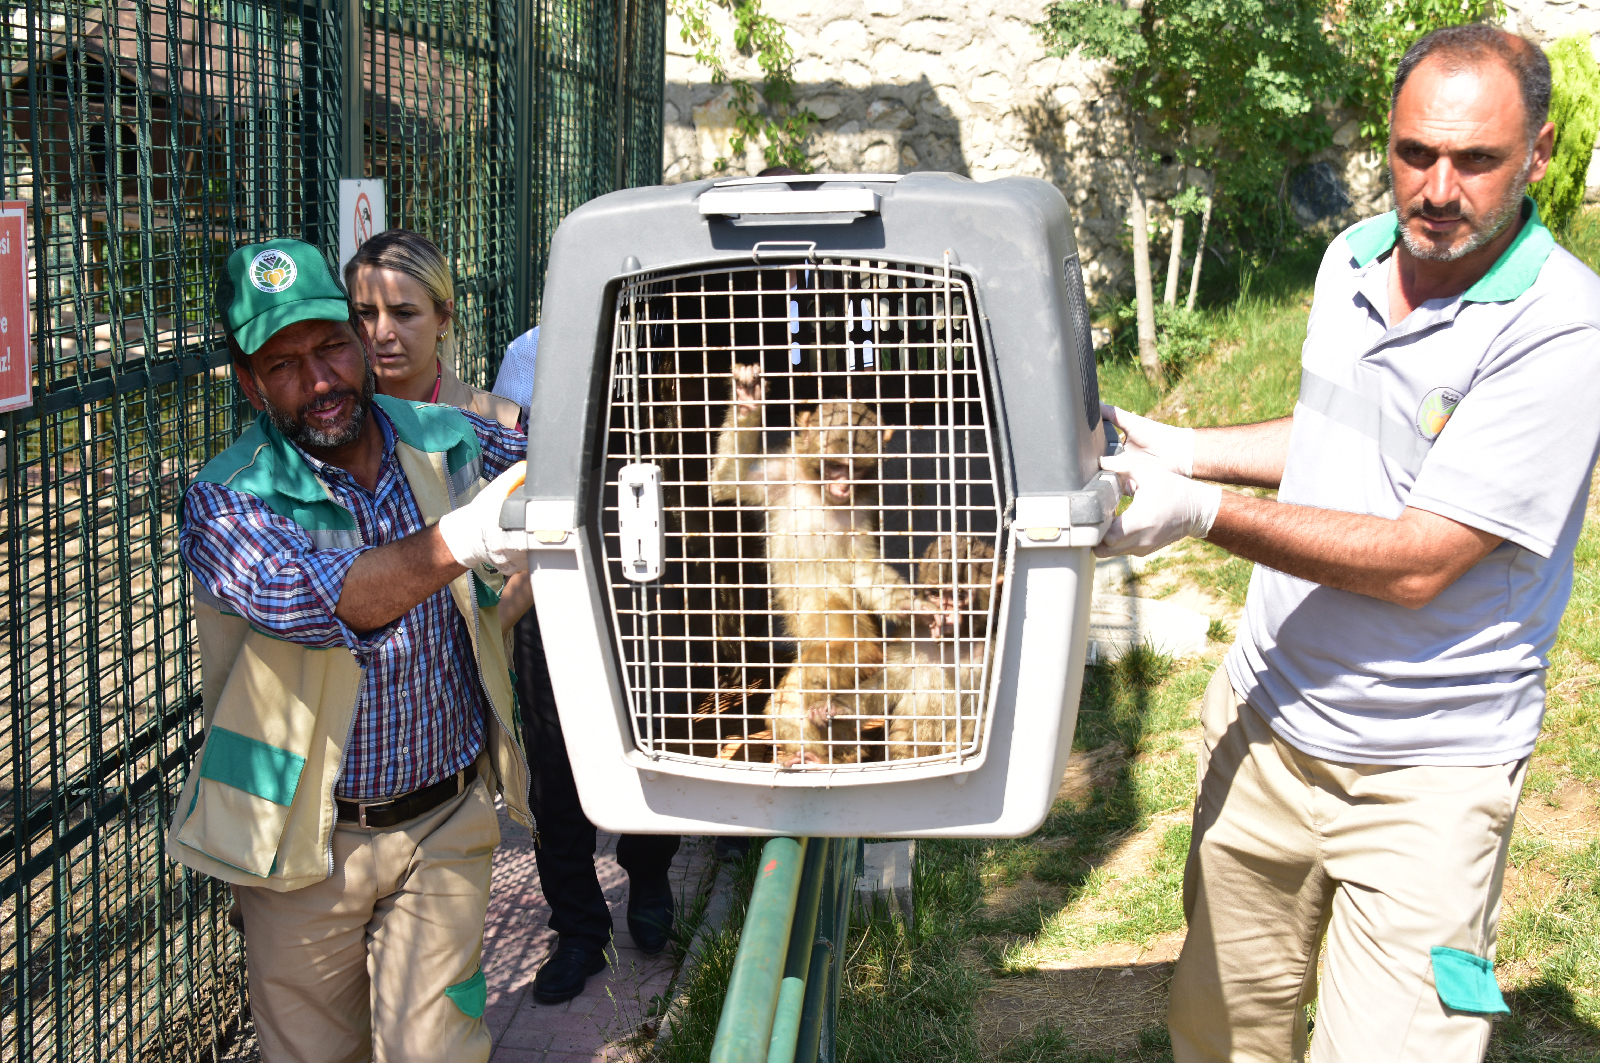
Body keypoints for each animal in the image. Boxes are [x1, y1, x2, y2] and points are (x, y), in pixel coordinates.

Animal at [710, 363, 915, 765]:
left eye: (855, 469)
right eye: (834, 466)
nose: (842, 487)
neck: (817, 491)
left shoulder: (861, 508)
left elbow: (863, 567)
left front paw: (910, 605)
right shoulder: (780, 476)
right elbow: (726, 484)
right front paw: (747, 400)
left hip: (848, 635)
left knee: (818, 674)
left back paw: (834, 748)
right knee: (788, 703)